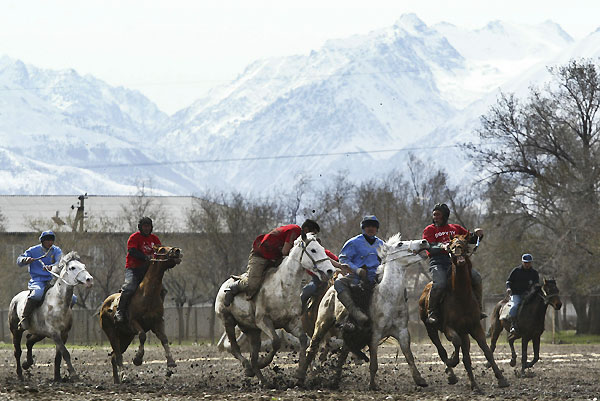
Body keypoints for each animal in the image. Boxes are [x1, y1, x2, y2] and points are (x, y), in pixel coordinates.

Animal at [8, 252, 94, 380]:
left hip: (40, 333)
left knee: (29, 341)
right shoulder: (55, 333)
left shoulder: (63, 334)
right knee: (17, 351)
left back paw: (27, 363)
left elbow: (59, 356)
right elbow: (65, 353)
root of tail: (15, 299)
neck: (58, 302)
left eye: (84, 266)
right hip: (16, 330)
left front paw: (57, 377)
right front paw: (73, 374)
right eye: (72, 267)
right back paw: (20, 374)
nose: (89, 280)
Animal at [101, 245, 182, 382]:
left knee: (114, 357)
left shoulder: (157, 322)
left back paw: (117, 380)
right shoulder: (133, 322)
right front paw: (137, 358)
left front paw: (170, 362)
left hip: (126, 337)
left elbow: (164, 338)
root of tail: (104, 305)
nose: (177, 250)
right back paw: (124, 376)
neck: (148, 294)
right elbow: (142, 335)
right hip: (111, 333)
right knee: (118, 355)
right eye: (162, 249)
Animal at [216, 231, 338, 384]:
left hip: (252, 330)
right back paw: (248, 368)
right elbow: (276, 342)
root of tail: (223, 286)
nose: (330, 270)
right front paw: (263, 363)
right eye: (313, 250)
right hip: (228, 320)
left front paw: (300, 374)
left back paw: (262, 379)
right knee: (233, 347)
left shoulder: (291, 322)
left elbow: (303, 339)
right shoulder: (264, 321)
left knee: (252, 353)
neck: (283, 286)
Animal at [298, 234, 432, 388]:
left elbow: (409, 356)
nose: (424, 242)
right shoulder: (374, 335)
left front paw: (420, 379)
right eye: (400, 244)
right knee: (312, 349)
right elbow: (374, 362)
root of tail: (330, 289)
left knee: (343, 354)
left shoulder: (403, 333)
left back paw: (335, 380)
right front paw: (372, 384)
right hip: (321, 324)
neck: (388, 298)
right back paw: (301, 379)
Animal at [420, 233, 508, 392]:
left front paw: (501, 378)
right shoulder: (448, 327)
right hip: (430, 328)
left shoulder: (474, 327)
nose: (458, 253)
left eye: (465, 242)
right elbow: (456, 343)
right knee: (441, 350)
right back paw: (451, 374)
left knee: (465, 354)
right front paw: (453, 360)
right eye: (451, 244)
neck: (461, 296)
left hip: (464, 331)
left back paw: (473, 383)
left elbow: (486, 351)